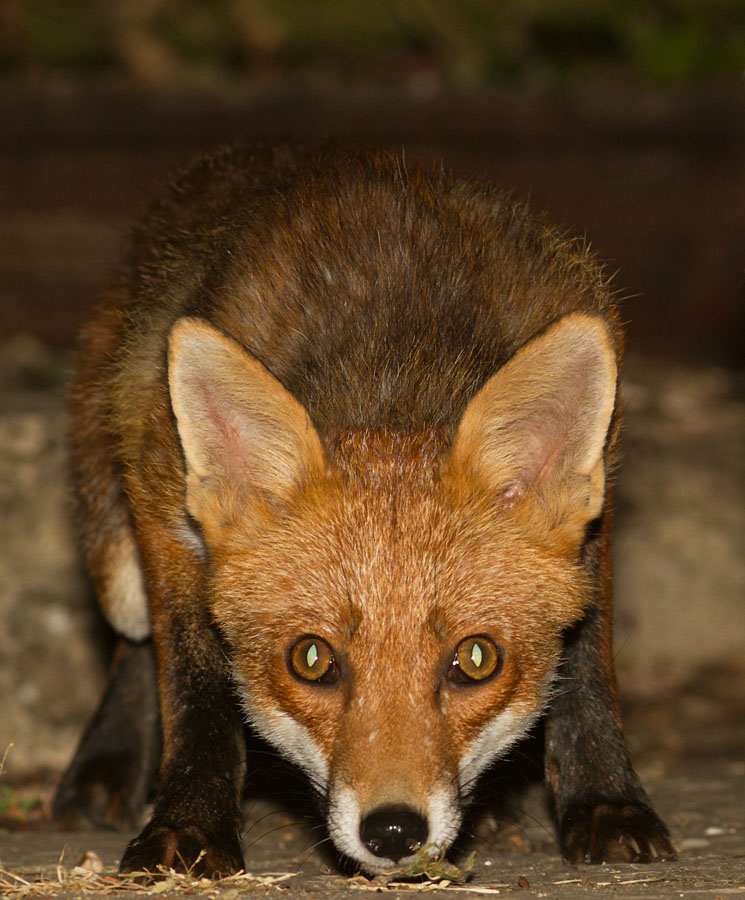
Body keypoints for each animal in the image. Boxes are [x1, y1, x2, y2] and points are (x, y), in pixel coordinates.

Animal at [53, 142, 675, 877]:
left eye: (476, 659)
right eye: (311, 659)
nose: (394, 831)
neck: (396, 373)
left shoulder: (592, 523)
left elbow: (585, 674)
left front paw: (607, 803)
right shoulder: (167, 513)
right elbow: (194, 691)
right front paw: (188, 828)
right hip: (116, 559)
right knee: (135, 643)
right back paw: (104, 768)